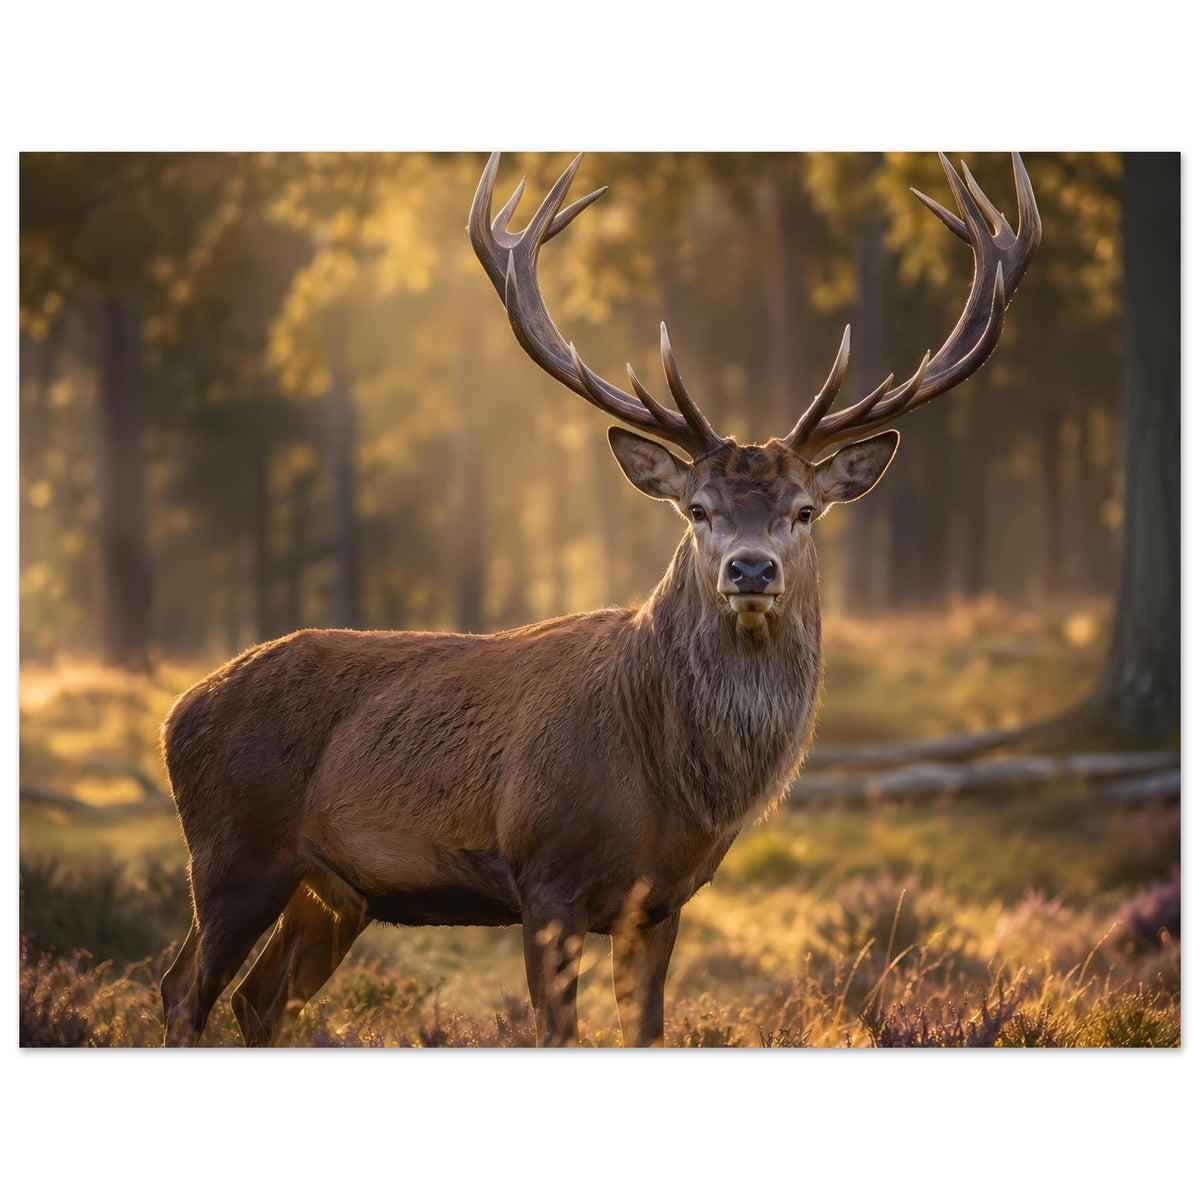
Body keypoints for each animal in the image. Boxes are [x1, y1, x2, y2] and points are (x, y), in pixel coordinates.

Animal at [159, 151, 1040, 1047]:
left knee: (258, 999)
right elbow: (557, 1031)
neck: (666, 785)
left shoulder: (662, 901)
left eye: (804, 510)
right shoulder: (544, 874)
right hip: (233, 850)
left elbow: (647, 1031)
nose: (750, 571)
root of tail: (178, 710)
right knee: (183, 988)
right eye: (697, 509)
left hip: (336, 887)